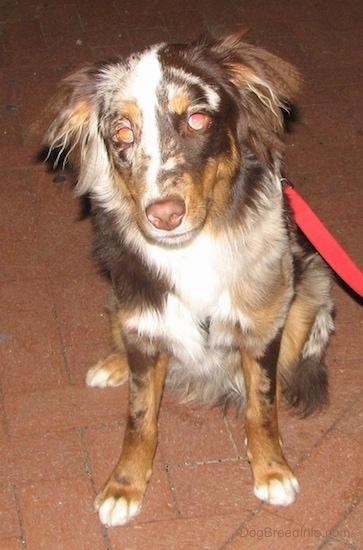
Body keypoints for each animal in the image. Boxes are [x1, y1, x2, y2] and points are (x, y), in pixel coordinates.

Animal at [42, 32, 336, 528]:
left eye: (197, 119)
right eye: (123, 132)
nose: (164, 215)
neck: (192, 249)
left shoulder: (262, 325)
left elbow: (262, 406)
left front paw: (271, 469)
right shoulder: (144, 318)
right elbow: (140, 418)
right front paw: (124, 485)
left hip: (310, 291)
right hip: (122, 300)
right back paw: (113, 364)